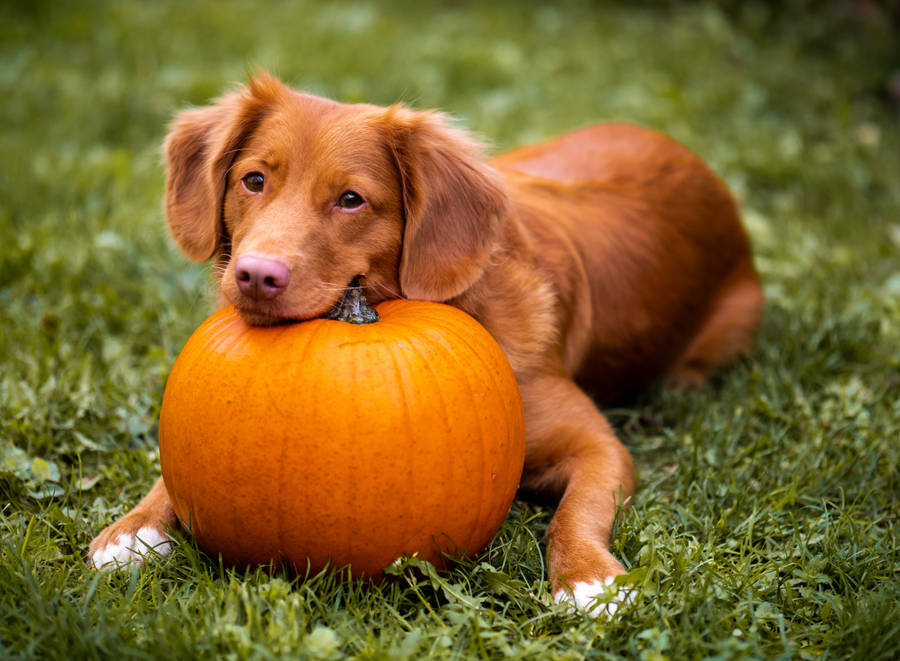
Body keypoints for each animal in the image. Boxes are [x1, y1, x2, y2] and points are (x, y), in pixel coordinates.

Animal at [88, 72, 764, 612]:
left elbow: (575, 513)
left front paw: (587, 579)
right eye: (253, 181)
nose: (256, 275)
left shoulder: (599, 446)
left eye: (352, 200)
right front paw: (132, 529)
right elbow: (170, 471)